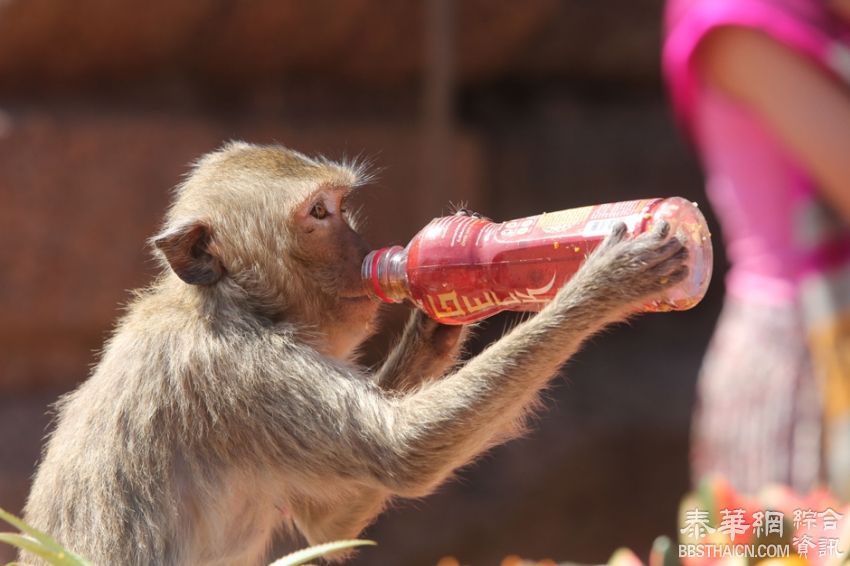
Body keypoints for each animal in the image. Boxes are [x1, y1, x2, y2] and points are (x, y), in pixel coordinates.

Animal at [21, 143, 688, 566]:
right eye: (319, 213)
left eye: (341, 206)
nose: (365, 247)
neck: (230, 302)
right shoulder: (242, 374)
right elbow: (401, 453)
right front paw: (603, 280)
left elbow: (333, 519)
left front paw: (436, 317)